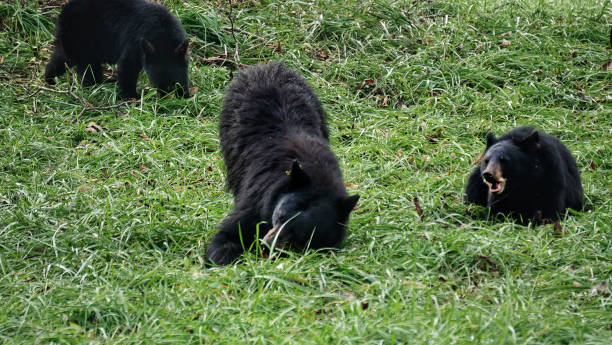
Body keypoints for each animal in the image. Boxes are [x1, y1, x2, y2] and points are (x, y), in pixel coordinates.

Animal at [44, 0, 189, 99]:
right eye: (155, 81)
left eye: (171, 82)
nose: (163, 96)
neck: (162, 33)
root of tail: (63, 12)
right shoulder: (135, 43)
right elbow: (128, 66)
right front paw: (131, 96)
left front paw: (184, 93)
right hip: (82, 40)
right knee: (88, 67)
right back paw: (94, 86)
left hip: (69, 42)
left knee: (60, 58)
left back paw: (49, 79)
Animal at [206, 61, 358, 264]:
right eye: (279, 216)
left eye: (301, 235)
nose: (265, 243)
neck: (317, 175)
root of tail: (266, 65)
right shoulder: (258, 198)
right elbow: (230, 233)